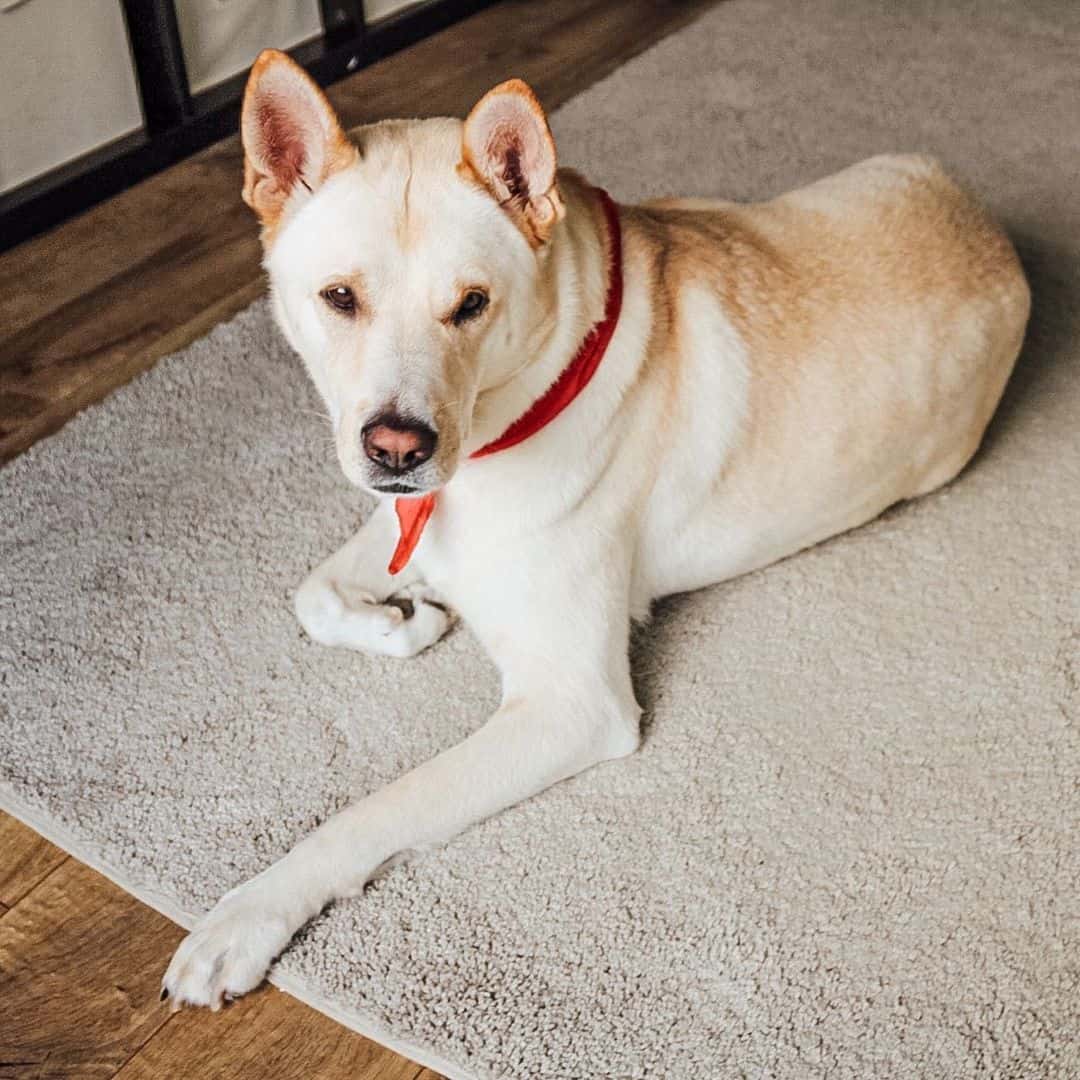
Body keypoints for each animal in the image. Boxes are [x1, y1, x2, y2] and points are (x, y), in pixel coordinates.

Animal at [159, 48, 1028, 1010]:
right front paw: (406, 620)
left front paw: (247, 916)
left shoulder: (572, 703)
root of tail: (990, 232)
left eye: (471, 305)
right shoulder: (404, 511)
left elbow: (372, 811)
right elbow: (314, 595)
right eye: (339, 298)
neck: (523, 398)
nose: (397, 448)